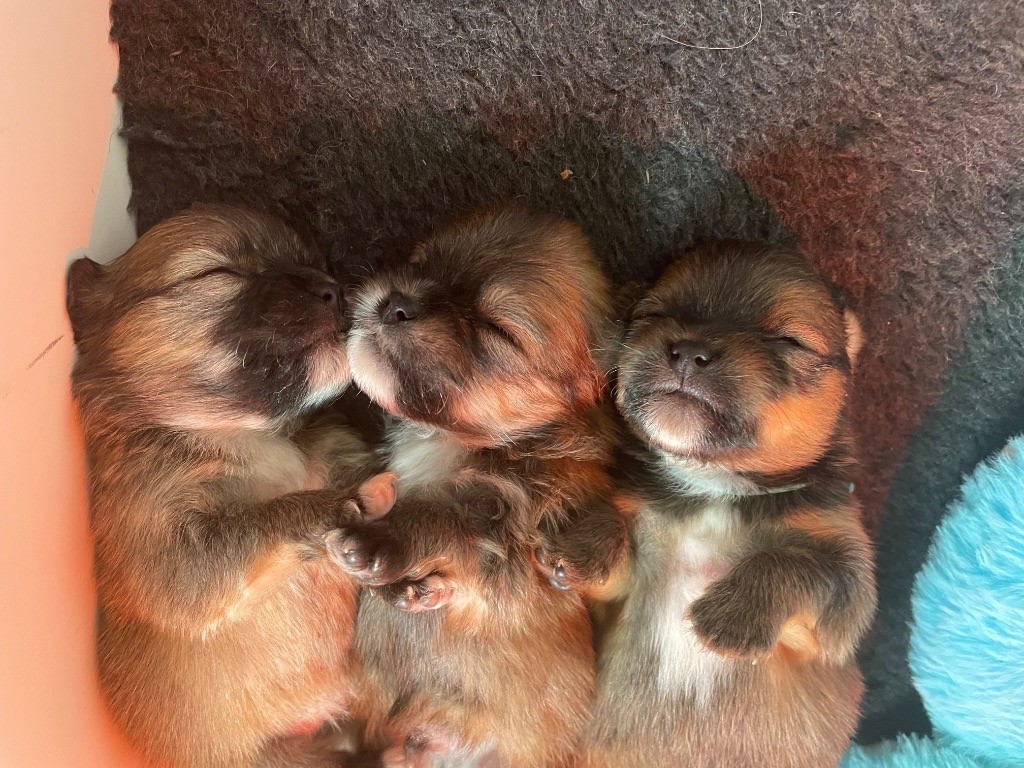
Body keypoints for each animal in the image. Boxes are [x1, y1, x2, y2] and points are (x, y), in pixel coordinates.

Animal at [68, 205, 393, 768]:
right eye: (217, 272)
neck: (254, 437)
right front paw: (342, 506)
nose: (332, 288)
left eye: (314, 261)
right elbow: (267, 519)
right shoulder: (174, 552)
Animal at [333, 205, 628, 767]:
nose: (397, 303)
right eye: (421, 262)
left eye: (495, 329)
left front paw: (386, 542)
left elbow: (443, 518)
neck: (447, 442)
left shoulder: (506, 529)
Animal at [558, 241, 876, 768]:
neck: (716, 488)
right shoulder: (621, 585)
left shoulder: (844, 589)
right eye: (651, 313)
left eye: (788, 341)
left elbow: (793, 563)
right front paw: (583, 545)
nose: (687, 351)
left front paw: (732, 616)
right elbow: (614, 520)